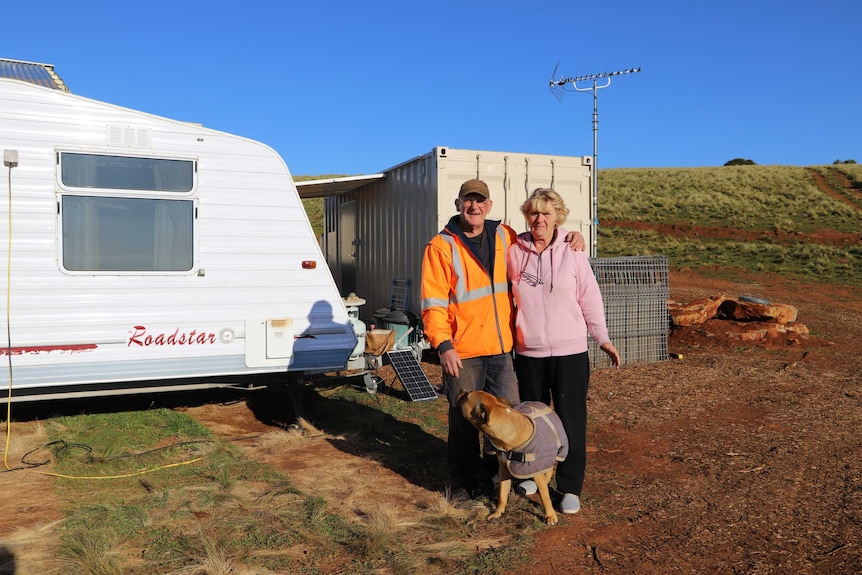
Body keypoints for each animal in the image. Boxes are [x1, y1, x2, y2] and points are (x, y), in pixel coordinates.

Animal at [456, 392, 572, 528]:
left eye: (466, 397)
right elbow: (502, 494)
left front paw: (550, 516)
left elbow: (545, 496)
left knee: (548, 471)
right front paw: (498, 513)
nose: (461, 391)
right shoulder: (504, 470)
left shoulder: (536, 469)